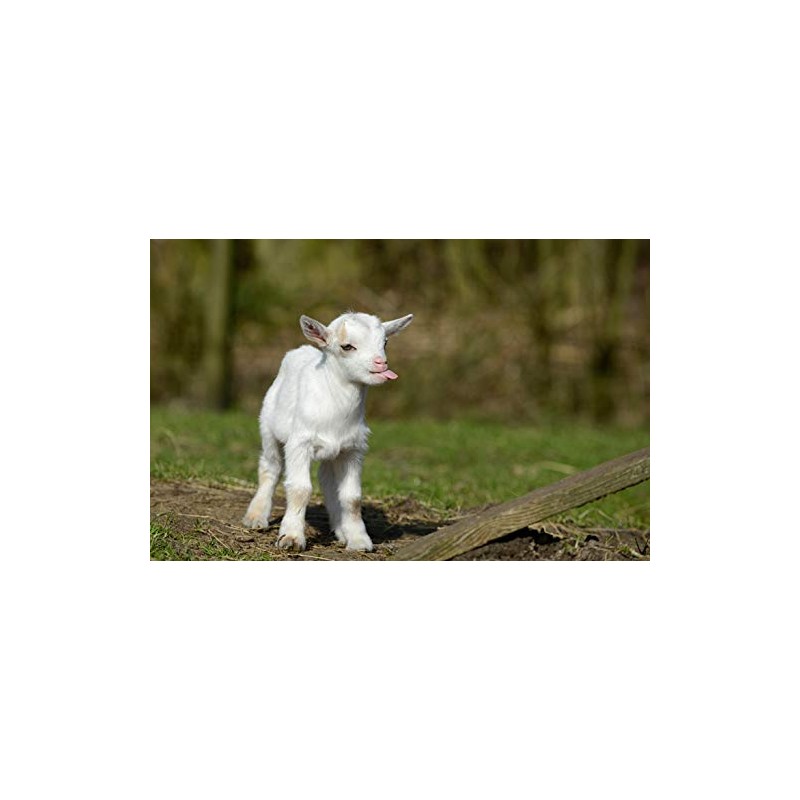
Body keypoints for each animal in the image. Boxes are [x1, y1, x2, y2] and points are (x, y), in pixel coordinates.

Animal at [242, 311, 414, 551]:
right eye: (347, 346)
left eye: (385, 342)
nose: (381, 363)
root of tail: (302, 349)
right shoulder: (300, 443)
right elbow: (300, 489)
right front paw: (291, 537)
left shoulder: (353, 449)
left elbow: (352, 497)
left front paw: (358, 540)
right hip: (268, 427)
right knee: (270, 467)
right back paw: (256, 516)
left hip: (333, 452)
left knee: (327, 480)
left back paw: (340, 529)